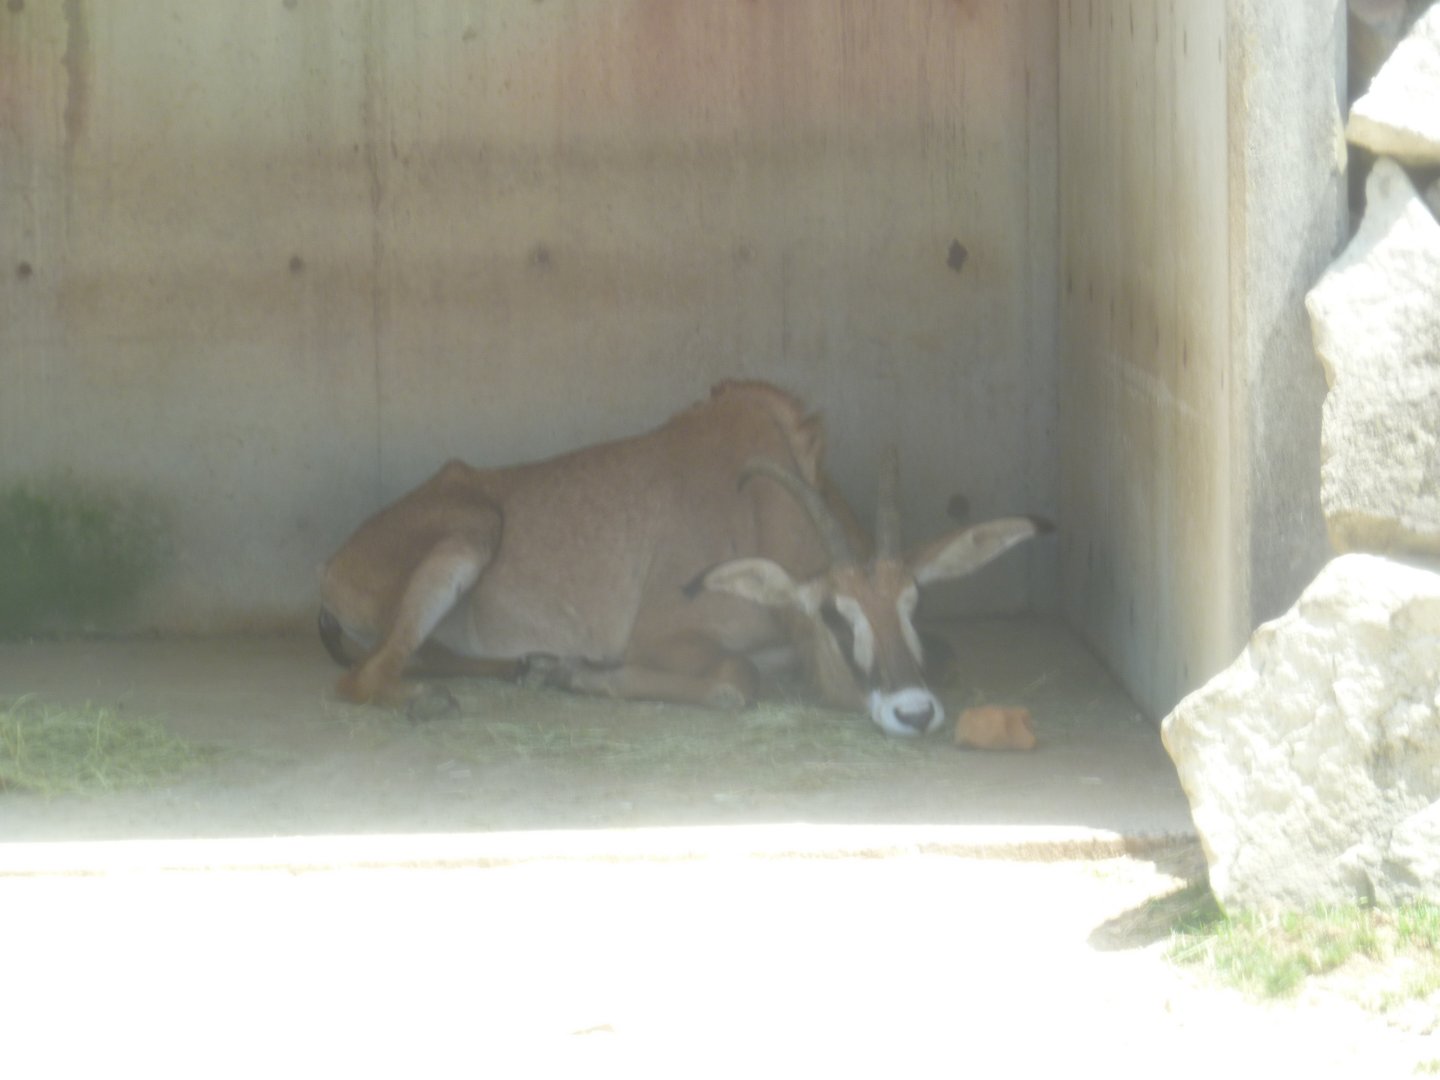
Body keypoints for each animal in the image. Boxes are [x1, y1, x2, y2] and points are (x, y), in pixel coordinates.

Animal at [318, 380, 1046, 736]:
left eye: (913, 605)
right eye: (835, 615)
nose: (913, 713)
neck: (760, 507)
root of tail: (333, 566)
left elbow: (946, 656)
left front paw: (560, 669)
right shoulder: (662, 635)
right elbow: (735, 681)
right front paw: (585, 675)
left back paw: (527, 667)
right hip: (468, 539)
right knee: (363, 678)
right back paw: (437, 700)